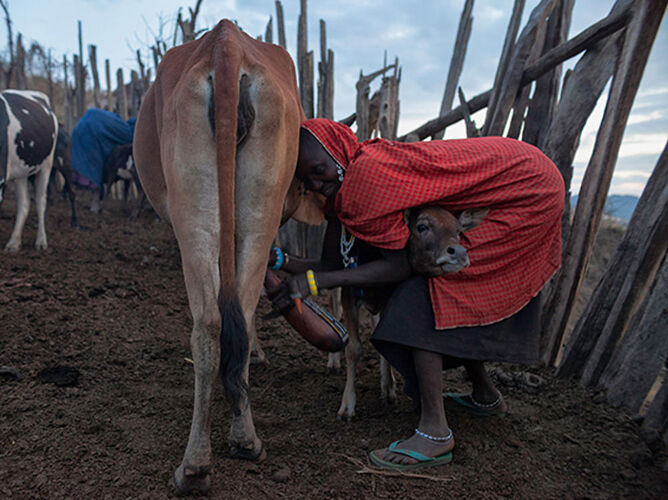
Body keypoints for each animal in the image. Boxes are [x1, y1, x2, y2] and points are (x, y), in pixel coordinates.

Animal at [0, 90, 58, 252]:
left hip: (46, 165)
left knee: (40, 201)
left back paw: (41, 241)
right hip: (21, 171)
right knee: (24, 203)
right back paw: (14, 242)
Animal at [133, 20, 306, 496]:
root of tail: (225, 44)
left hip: (192, 216)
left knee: (209, 325)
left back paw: (194, 465)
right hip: (260, 207)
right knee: (235, 317)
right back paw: (244, 439)